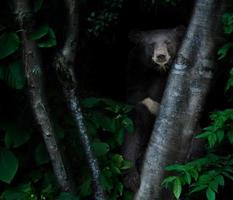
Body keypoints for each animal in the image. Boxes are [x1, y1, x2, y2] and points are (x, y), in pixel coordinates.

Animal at [123, 26, 185, 191]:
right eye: (151, 44)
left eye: (168, 42)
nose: (161, 56)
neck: (156, 74)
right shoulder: (137, 96)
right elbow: (132, 134)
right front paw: (131, 179)